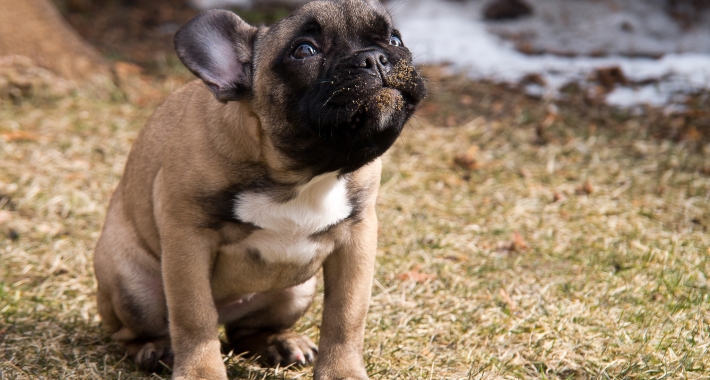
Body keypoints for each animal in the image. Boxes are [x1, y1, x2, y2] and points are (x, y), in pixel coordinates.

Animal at [94, 1, 428, 378]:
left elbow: (346, 315)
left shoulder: (357, 238)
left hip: (296, 290)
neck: (302, 173)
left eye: (395, 39)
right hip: (134, 288)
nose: (374, 57)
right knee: (135, 331)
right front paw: (201, 371)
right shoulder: (187, 239)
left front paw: (342, 370)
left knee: (244, 332)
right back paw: (152, 349)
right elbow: (193, 316)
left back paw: (279, 343)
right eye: (304, 51)